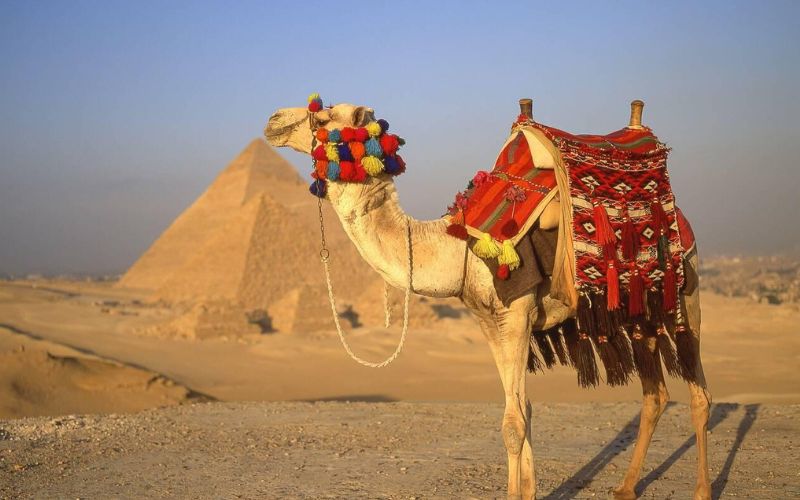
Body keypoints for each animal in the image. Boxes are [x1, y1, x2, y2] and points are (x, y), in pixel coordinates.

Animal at [264, 99, 712, 500]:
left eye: (323, 116)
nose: (273, 120)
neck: (456, 247)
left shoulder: (514, 315)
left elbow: (512, 424)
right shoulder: (489, 322)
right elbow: (523, 412)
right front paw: (527, 490)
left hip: (684, 290)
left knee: (699, 395)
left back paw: (702, 490)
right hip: (638, 310)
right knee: (655, 395)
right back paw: (626, 487)